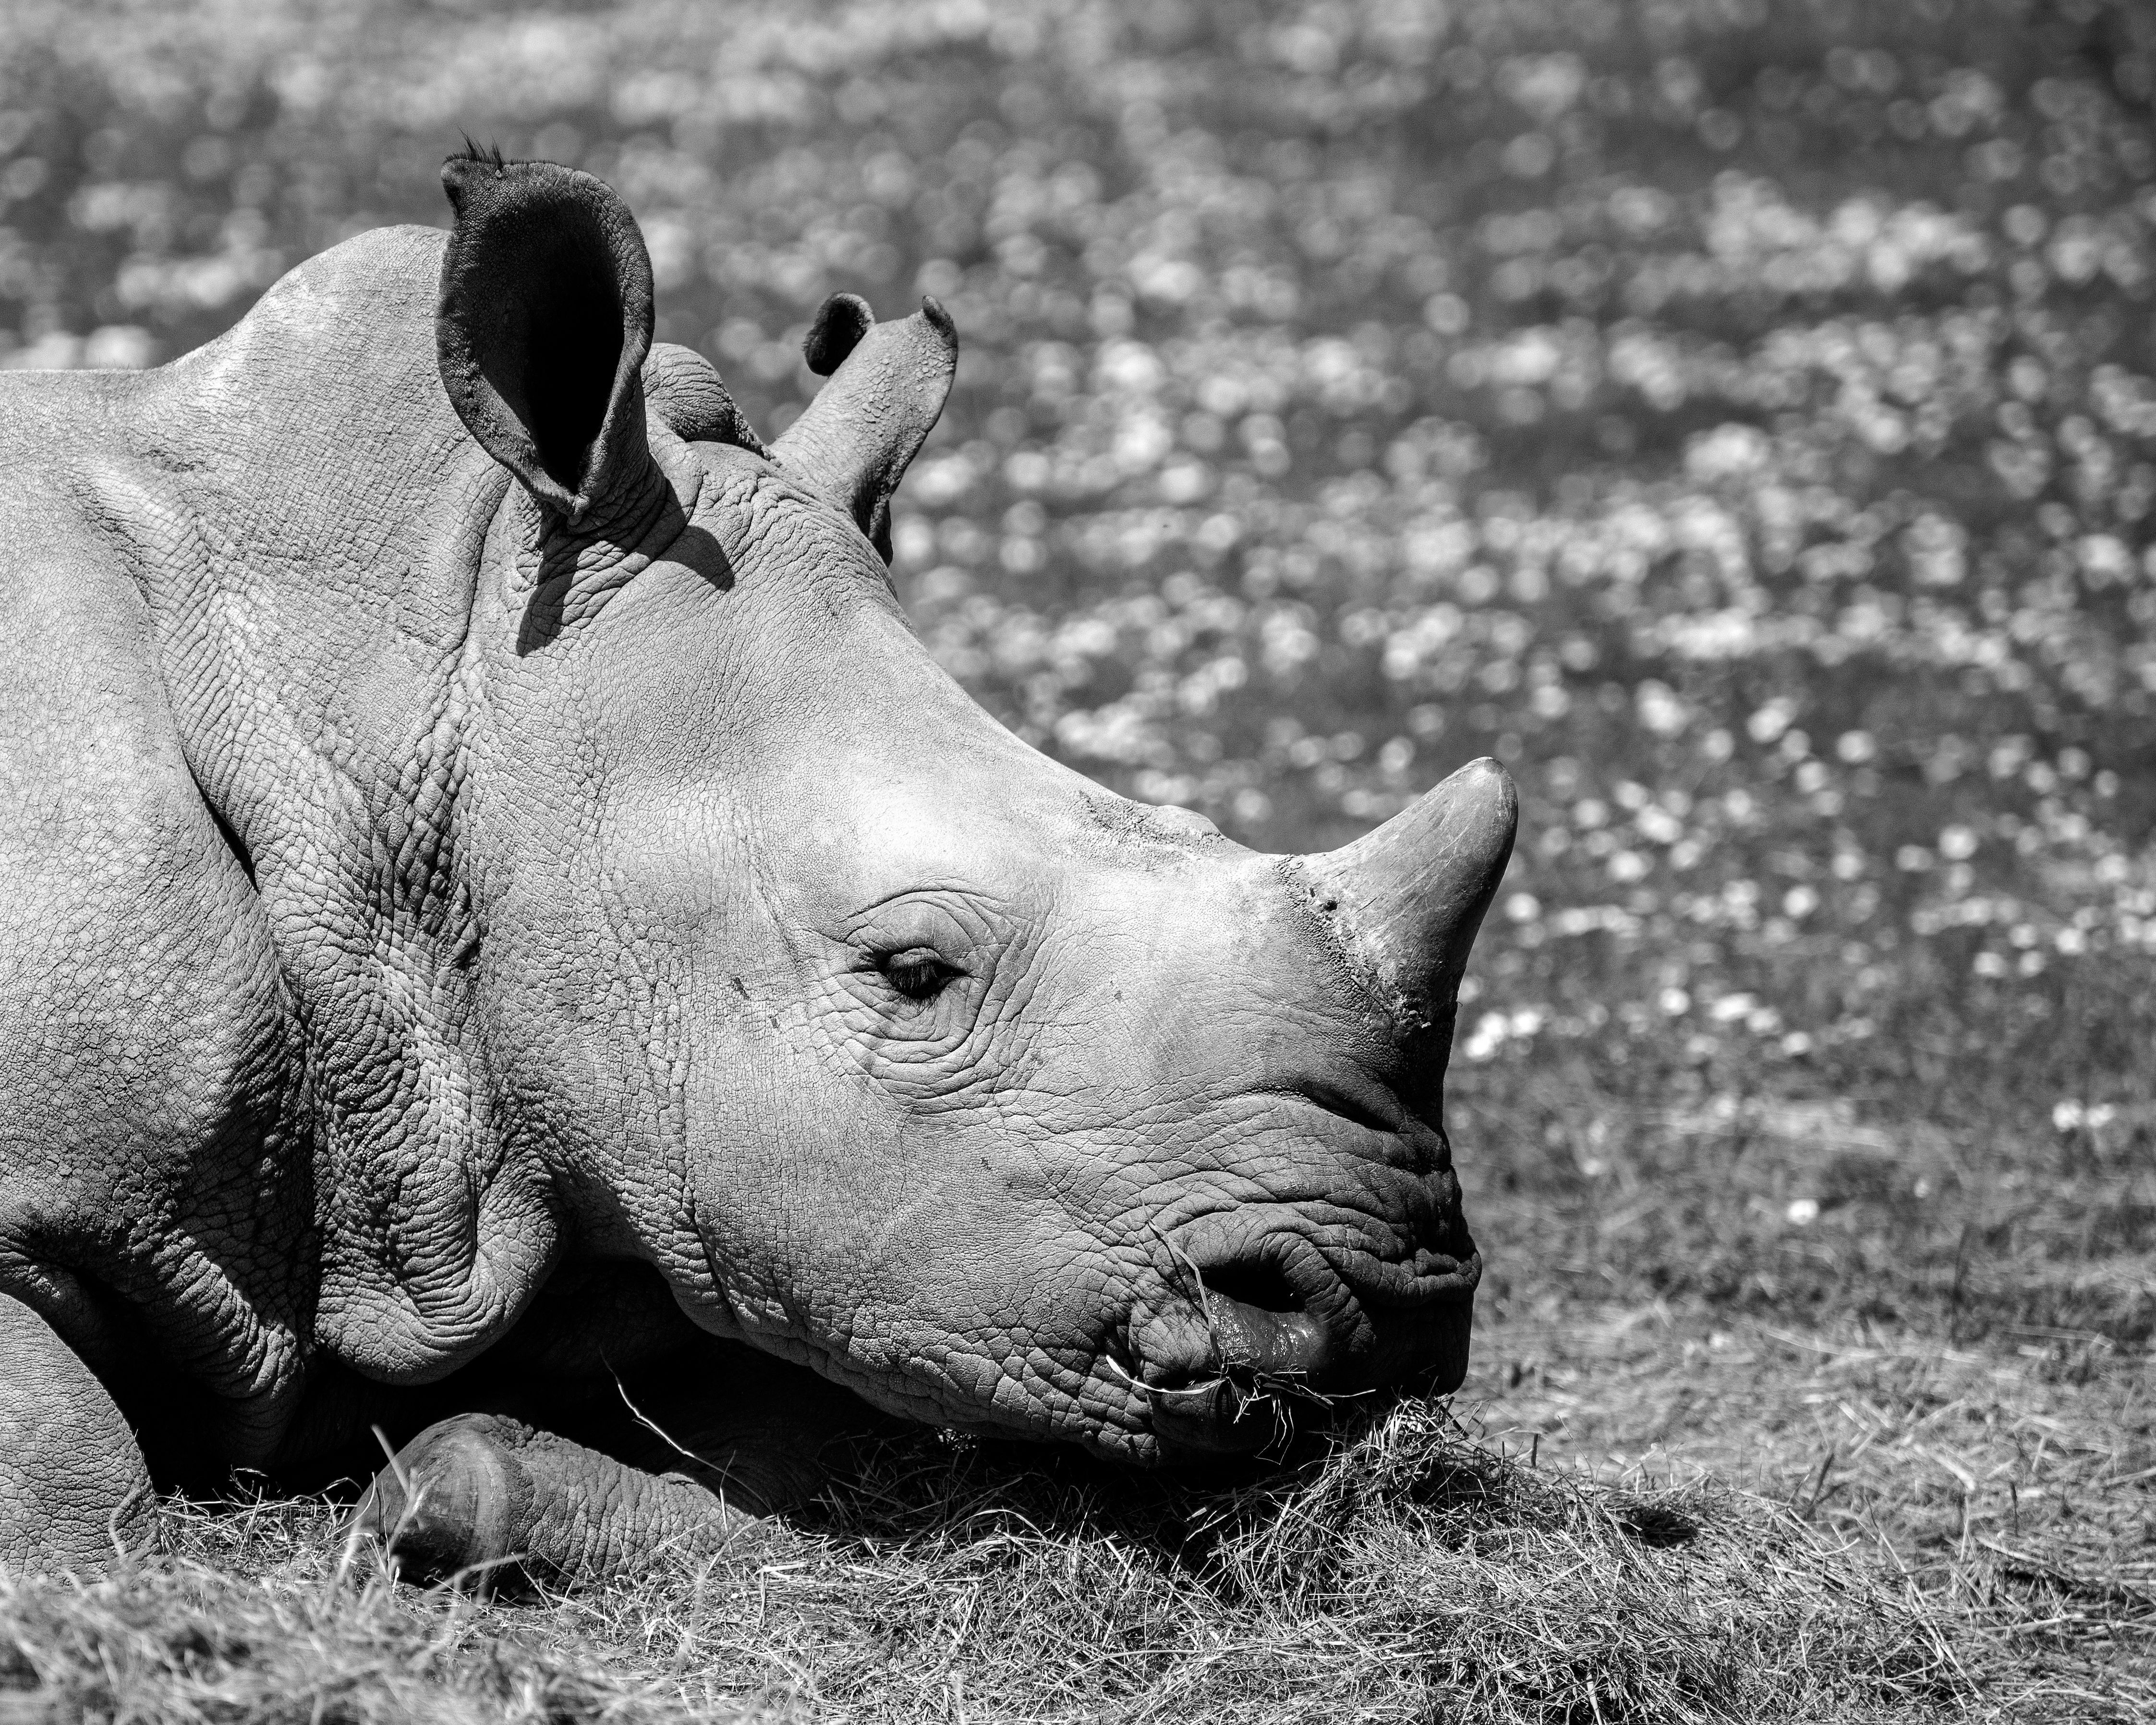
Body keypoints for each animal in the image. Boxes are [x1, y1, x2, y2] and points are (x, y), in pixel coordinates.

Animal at [0, 152, 1514, 1584]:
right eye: (914, 973)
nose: (1392, 1308)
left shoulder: (743, 1213)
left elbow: (800, 1434)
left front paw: (444, 1497)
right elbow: (73, 1477)